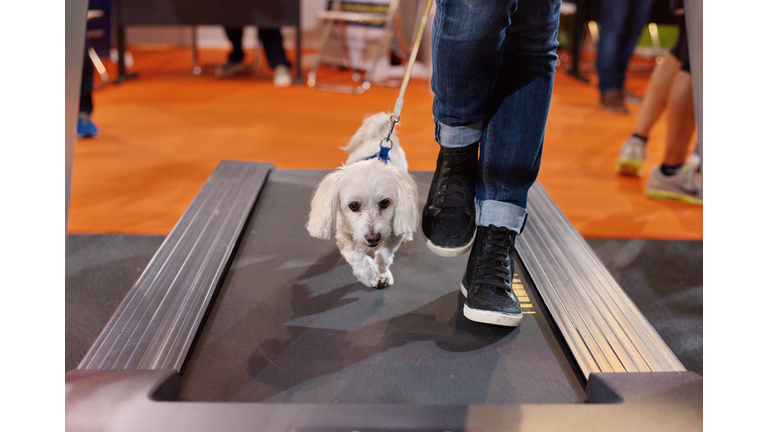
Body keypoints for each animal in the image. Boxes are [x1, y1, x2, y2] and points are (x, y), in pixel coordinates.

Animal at [306, 112, 420, 286]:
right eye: (353, 206)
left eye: (385, 203)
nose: (373, 238)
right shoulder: (343, 235)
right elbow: (355, 255)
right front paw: (368, 273)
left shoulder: (393, 234)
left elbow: (385, 255)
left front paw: (382, 273)